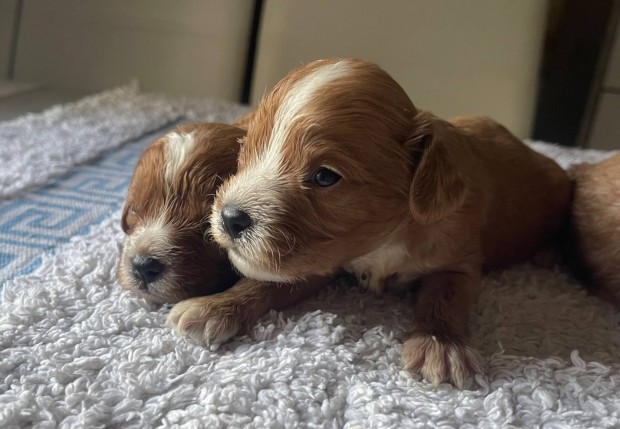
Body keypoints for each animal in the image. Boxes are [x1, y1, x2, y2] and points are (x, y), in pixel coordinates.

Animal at [167, 57, 568, 388]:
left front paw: (440, 345)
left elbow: (445, 295)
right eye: (247, 152)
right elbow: (266, 283)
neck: (386, 241)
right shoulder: (322, 260)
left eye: (325, 177)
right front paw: (216, 307)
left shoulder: (460, 258)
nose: (230, 217)